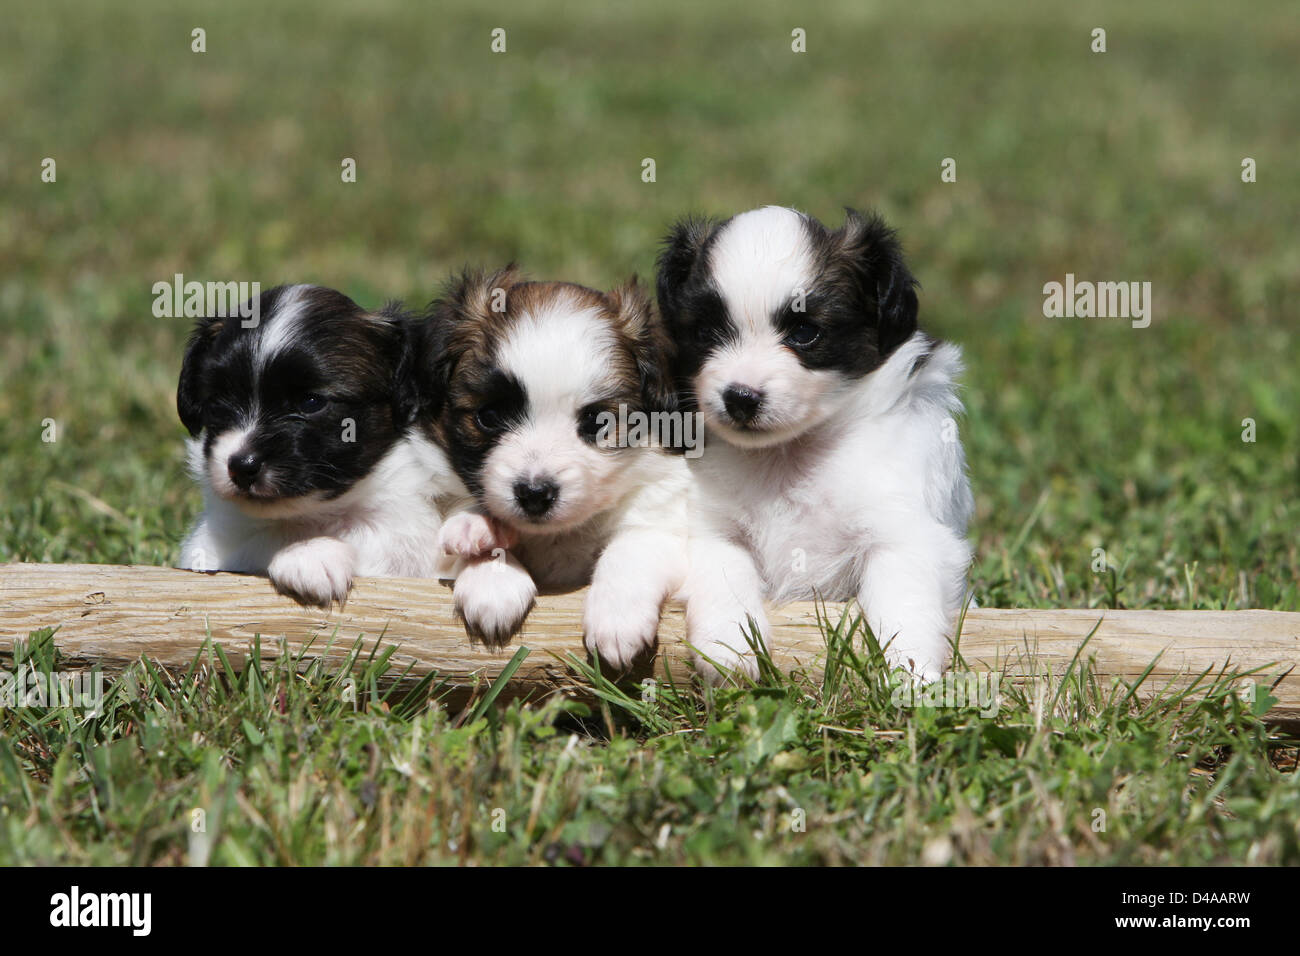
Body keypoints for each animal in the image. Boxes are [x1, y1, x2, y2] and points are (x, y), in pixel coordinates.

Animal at [423, 267, 691, 671]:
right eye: (489, 416)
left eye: (597, 422)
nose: (534, 494)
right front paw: (490, 570)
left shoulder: (667, 513)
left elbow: (634, 545)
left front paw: (617, 618)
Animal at [655, 206, 972, 686]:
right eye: (706, 332)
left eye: (804, 332)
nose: (740, 396)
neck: (790, 453)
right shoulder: (711, 526)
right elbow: (724, 575)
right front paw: (729, 648)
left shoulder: (904, 532)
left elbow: (904, 602)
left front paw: (910, 676)